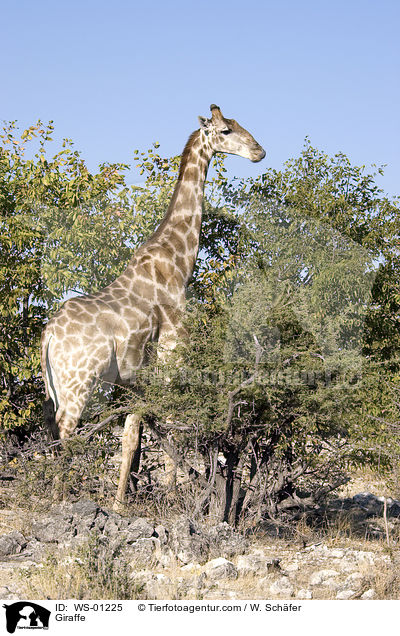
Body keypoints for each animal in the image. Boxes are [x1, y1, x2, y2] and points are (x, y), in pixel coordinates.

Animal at [41, 104, 266, 512]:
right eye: (226, 130)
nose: (260, 151)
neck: (179, 263)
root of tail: (48, 334)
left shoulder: (137, 381)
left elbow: (132, 437)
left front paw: (120, 503)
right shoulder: (173, 358)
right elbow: (172, 431)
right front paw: (174, 500)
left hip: (53, 386)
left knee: (54, 432)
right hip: (79, 383)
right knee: (67, 432)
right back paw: (60, 499)